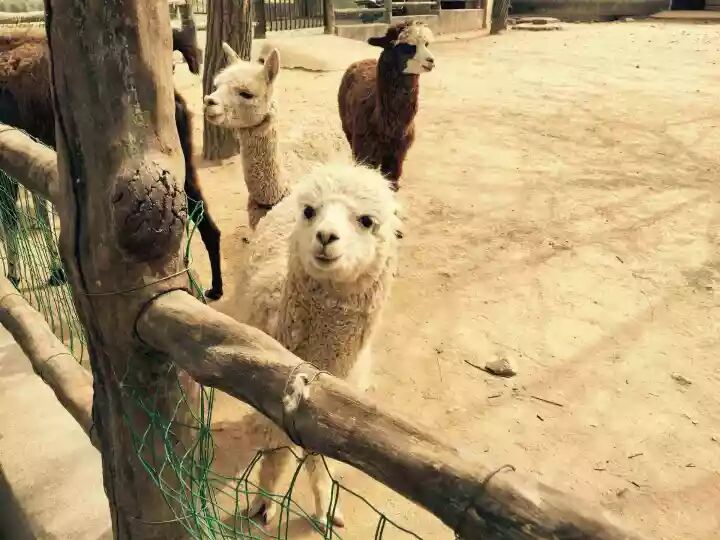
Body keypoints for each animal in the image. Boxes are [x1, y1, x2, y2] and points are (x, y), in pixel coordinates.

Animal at [0, 26, 225, 300]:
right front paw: (52, 271)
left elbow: (13, 217)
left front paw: (17, 276)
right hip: (181, 166)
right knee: (205, 220)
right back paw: (216, 288)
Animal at [338, 20, 435, 191]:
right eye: (406, 46)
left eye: (426, 44)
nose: (431, 60)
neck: (386, 128)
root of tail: (362, 60)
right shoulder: (365, 151)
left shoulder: (397, 154)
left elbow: (391, 183)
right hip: (347, 128)